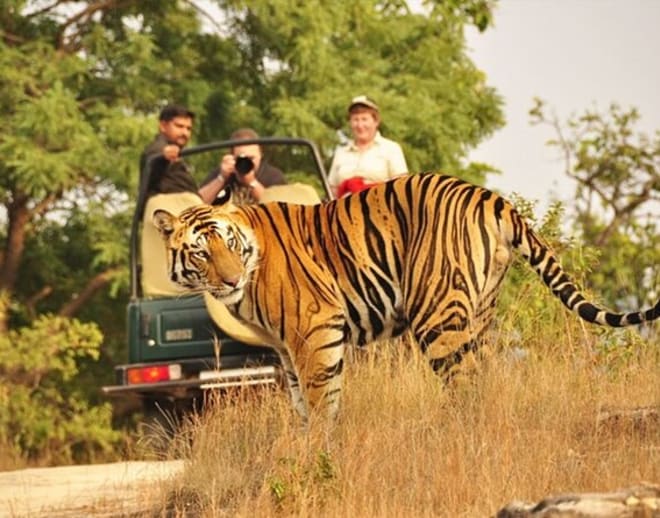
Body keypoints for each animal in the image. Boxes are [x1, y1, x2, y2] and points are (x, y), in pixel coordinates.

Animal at [153, 175, 656, 422]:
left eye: (228, 244)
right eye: (201, 252)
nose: (231, 279)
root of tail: (490, 197)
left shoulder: (315, 329)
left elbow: (321, 401)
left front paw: (319, 456)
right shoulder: (285, 348)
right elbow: (301, 404)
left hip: (436, 314)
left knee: (464, 384)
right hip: (480, 313)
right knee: (484, 378)